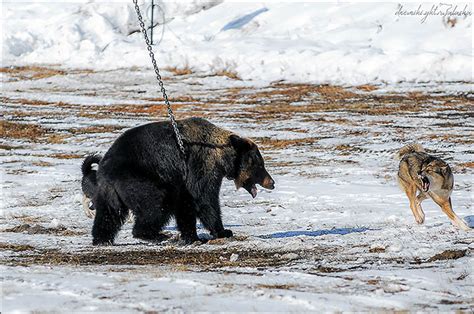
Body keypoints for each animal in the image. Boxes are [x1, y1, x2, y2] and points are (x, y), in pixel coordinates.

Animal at [81, 118, 274, 245]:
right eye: (259, 164)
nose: (271, 182)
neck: (221, 155)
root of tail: (105, 168)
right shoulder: (200, 165)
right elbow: (204, 199)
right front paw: (222, 231)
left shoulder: (182, 182)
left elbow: (186, 206)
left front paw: (192, 236)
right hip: (136, 179)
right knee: (156, 203)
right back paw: (155, 234)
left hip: (110, 191)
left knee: (109, 214)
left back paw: (102, 239)